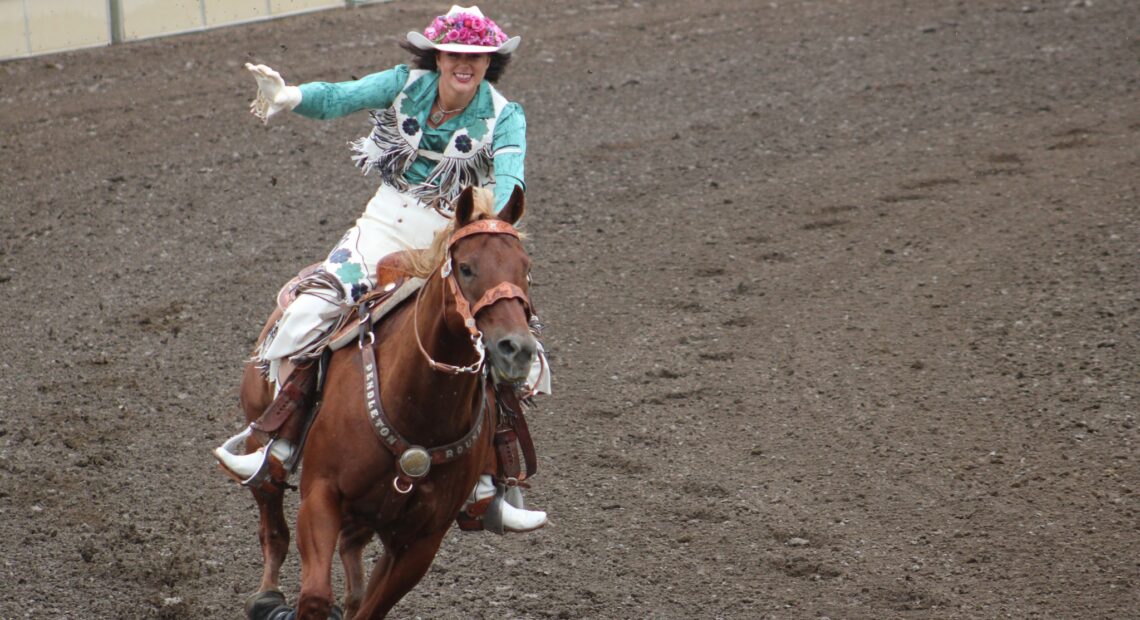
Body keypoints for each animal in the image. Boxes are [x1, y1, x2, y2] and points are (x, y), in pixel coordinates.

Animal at [237, 186, 538, 615]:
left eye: (525, 269)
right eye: (466, 268)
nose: (517, 349)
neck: (417, 410)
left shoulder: (420, 542)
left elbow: (370, 609)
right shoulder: (321, 496)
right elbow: (314, 597)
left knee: (350, 551)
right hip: (259, 437)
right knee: (271, 514)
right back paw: (268, 596)